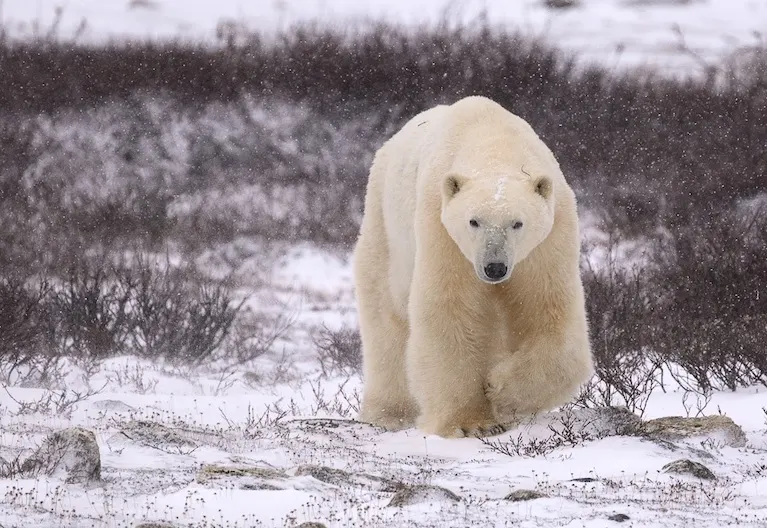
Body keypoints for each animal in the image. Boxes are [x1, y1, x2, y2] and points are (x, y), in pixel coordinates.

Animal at [353, 95, 593, 438]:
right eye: (474, 221)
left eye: (517, 223)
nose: (494, 267)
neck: (493, 142)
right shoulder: (443, 231)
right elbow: (449, 309)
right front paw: (469, 422)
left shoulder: (548, 239)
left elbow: (549, 311)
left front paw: (500, 391)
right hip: (385, 227)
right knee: (386, 311)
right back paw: (389, 412)